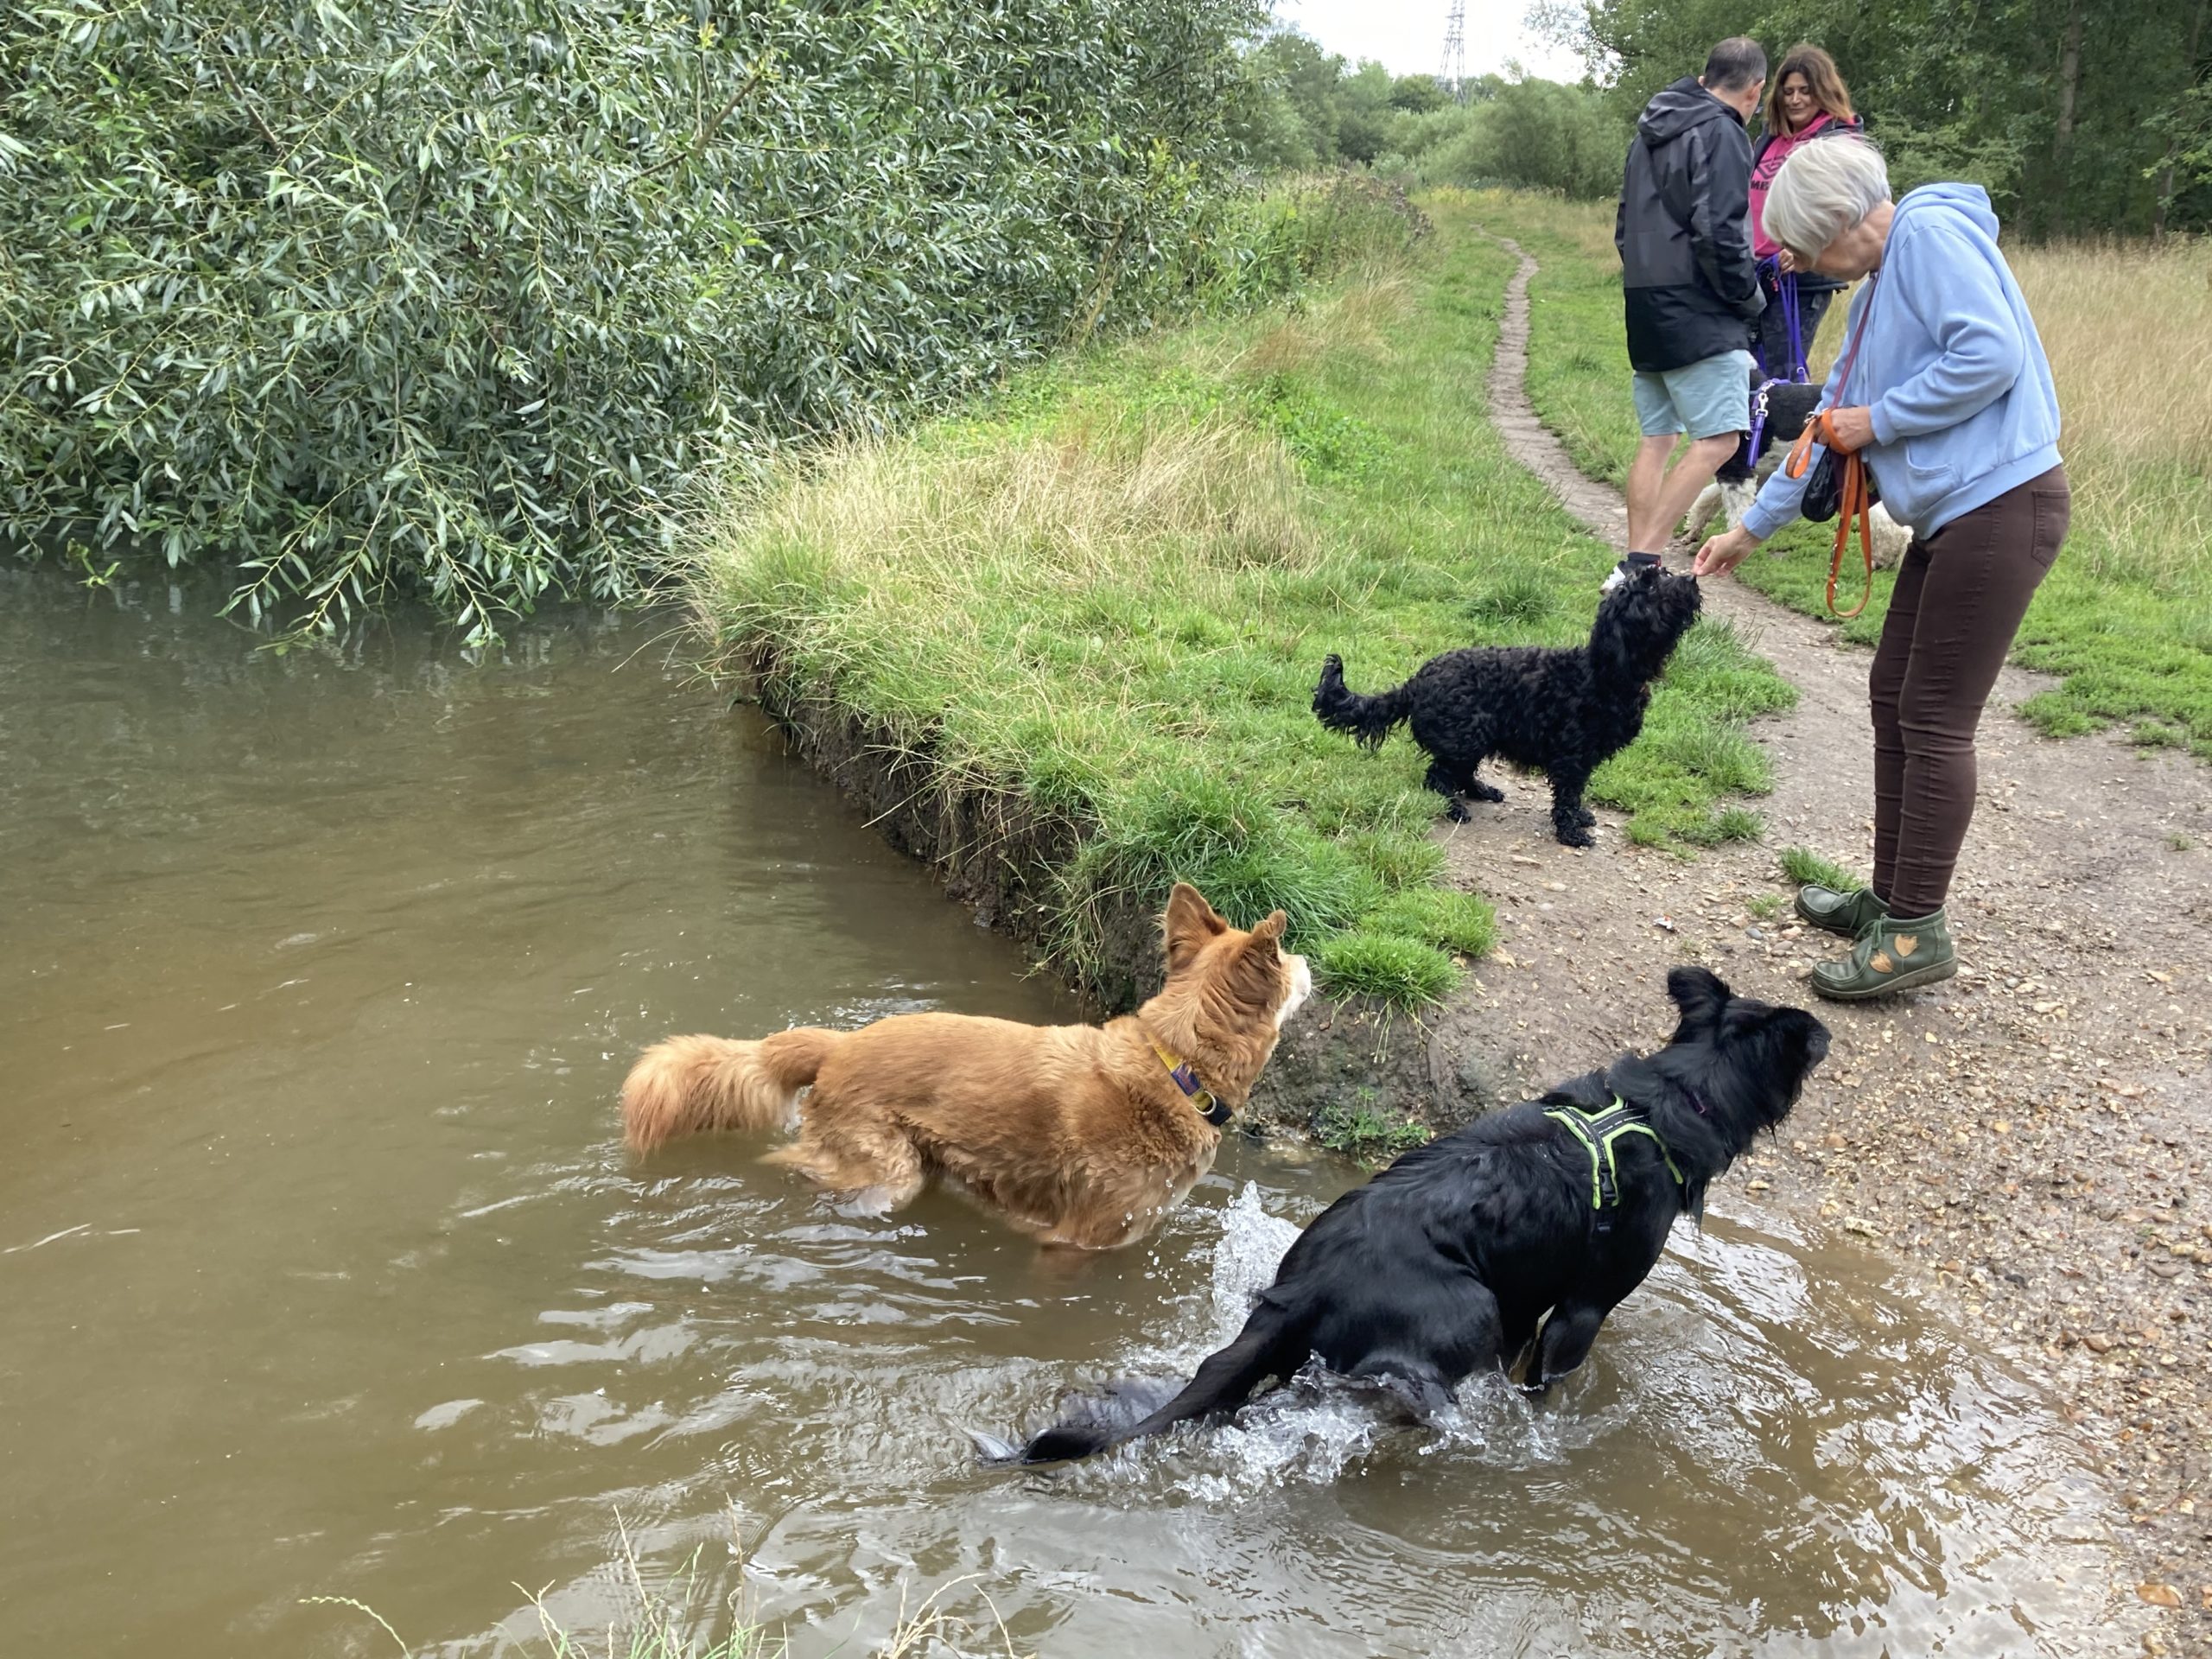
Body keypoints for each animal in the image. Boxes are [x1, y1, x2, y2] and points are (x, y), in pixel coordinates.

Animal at [619, 885, 1309, 1247]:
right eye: (1286, 955)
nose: (1310, 962)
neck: (1176, 1070)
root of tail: (838, 1046)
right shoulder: (1076, 1242)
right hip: (887, 1174)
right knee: (786, 1161)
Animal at [1008, 969, 1831, 1478]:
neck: (1666, 1103)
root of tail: (1305, 1289)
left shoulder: (1529, 1300)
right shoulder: (1581, 1310)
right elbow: (1546, 1386)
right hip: (1470, 1310)